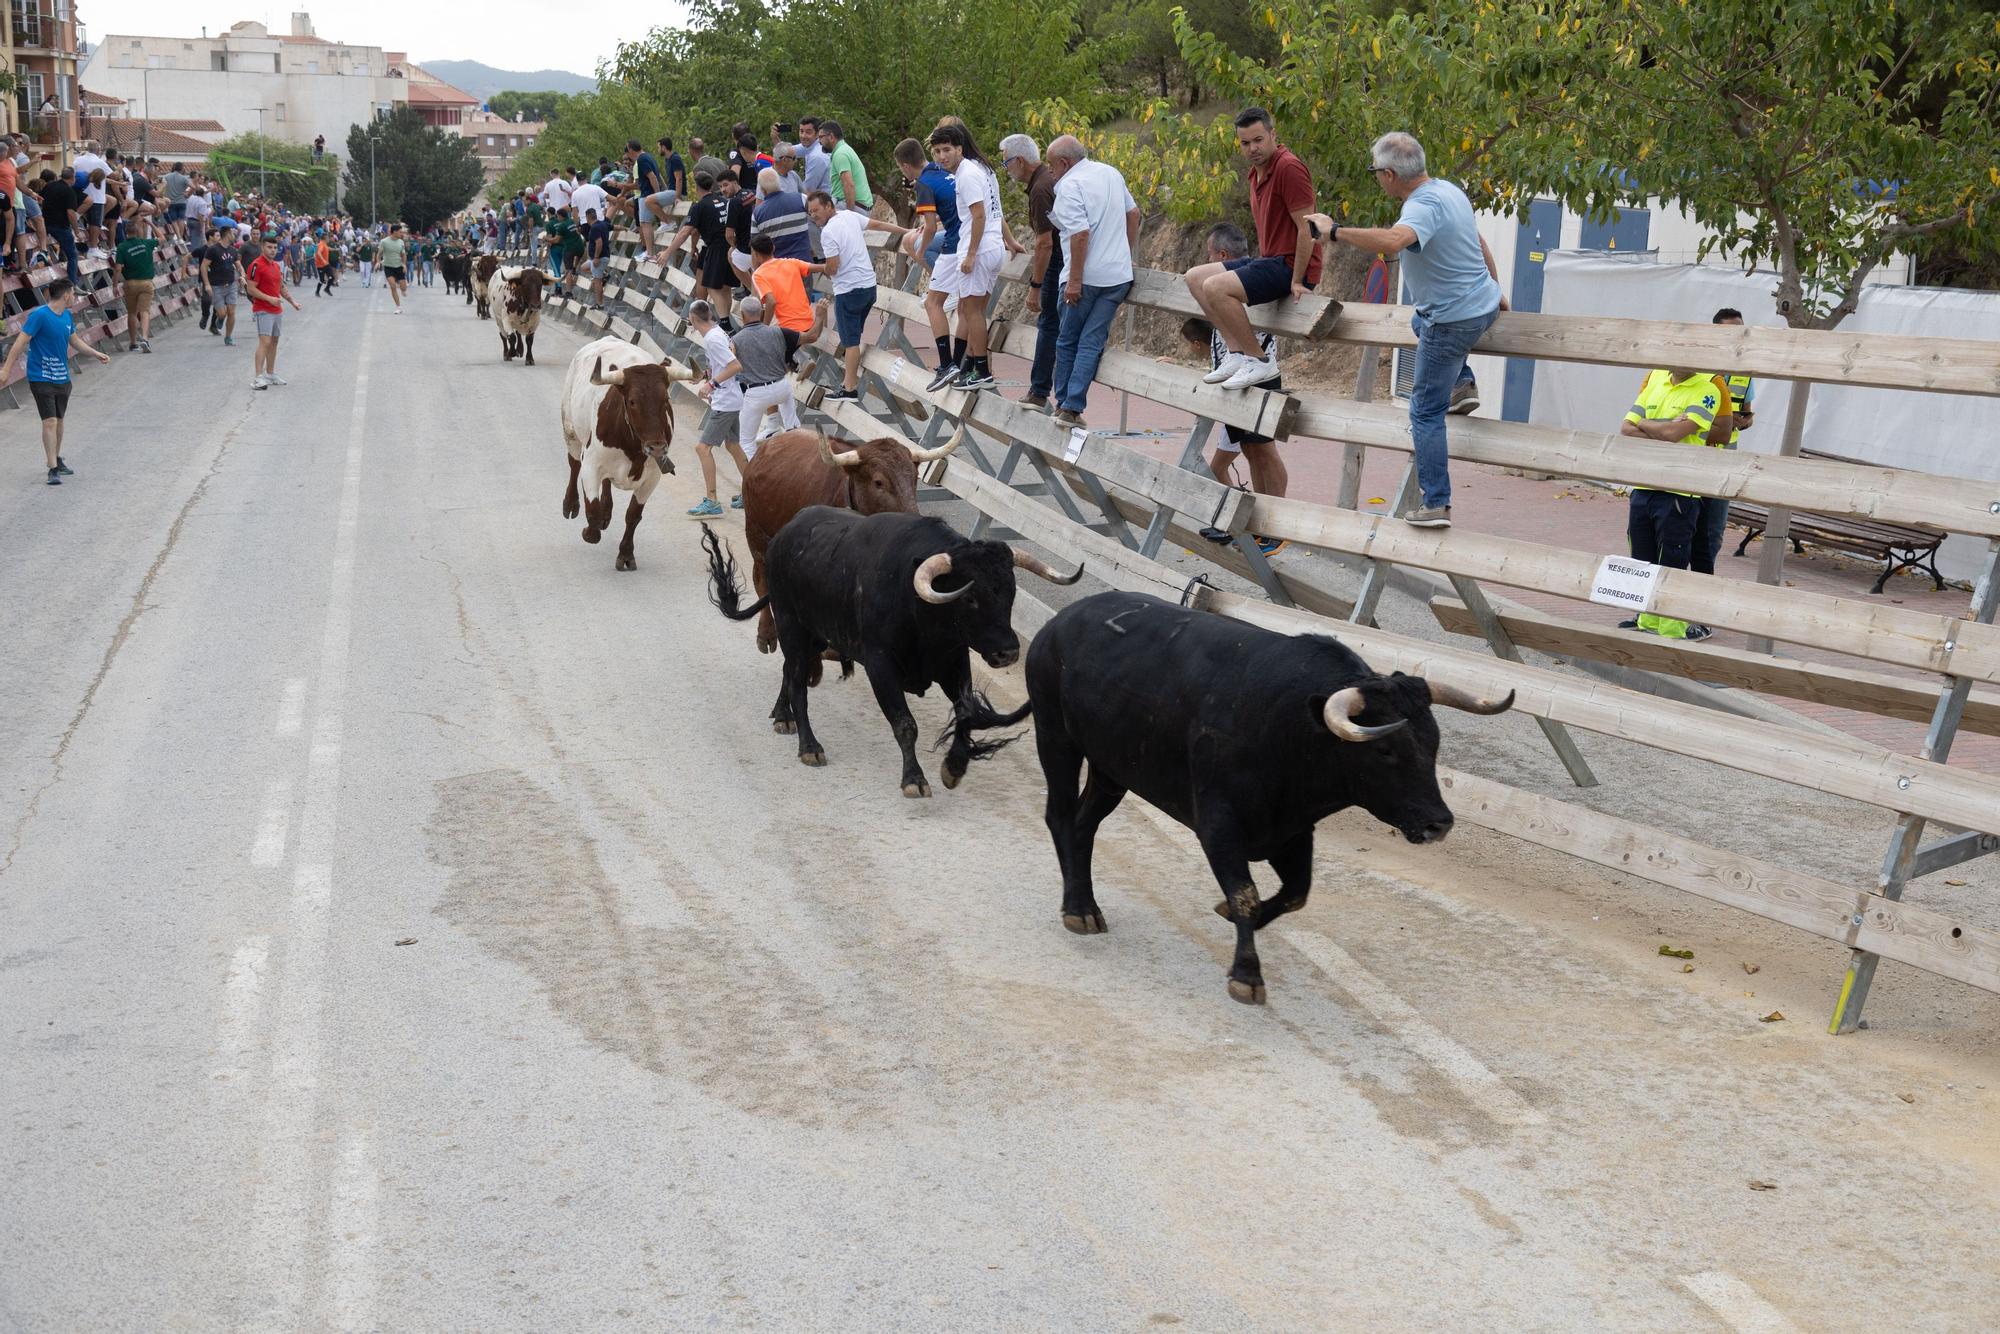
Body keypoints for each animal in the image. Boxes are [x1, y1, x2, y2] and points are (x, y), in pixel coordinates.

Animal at [560, 334, 700, 568]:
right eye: (632, 401)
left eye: (666, 400)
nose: (657, 447)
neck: (633, 449)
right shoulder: (591, 465)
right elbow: (592, 512)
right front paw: (589, 530)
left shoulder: (652, 478)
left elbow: (633, 516)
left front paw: (626, 554)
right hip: (569, 427)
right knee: (573, 464)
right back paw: (570, 504)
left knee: (607, 483)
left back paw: (607, 512)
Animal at [700, 508, 1080, 804]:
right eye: (970, 598)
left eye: (1011, 592)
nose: (1008, 651)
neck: (920, 610)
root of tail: (784, 534)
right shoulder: (881, 666)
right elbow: (905, 724)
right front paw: (914, 779)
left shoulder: (954, 663)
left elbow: (967, 714)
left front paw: (953, 768)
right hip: (792, 624)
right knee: (797, 682)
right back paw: (809, 746)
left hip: (815, 634)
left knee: (788, 670)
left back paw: (782, 716)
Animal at [1032, 592, 1512, 1000]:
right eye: (1384, 749)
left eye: (1434, 742)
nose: (1438, 823)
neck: (1287, 726)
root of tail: (1060, 621)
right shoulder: (1219, 826)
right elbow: (1245, 892)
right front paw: (1247, 975)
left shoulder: (1293, 831)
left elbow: (1296, 892)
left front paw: (1231, 915)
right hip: (1055, 737)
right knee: (1060, 815)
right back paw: (1076, 908)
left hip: (1111, 768)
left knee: (1084, 824)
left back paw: (1085, 903)